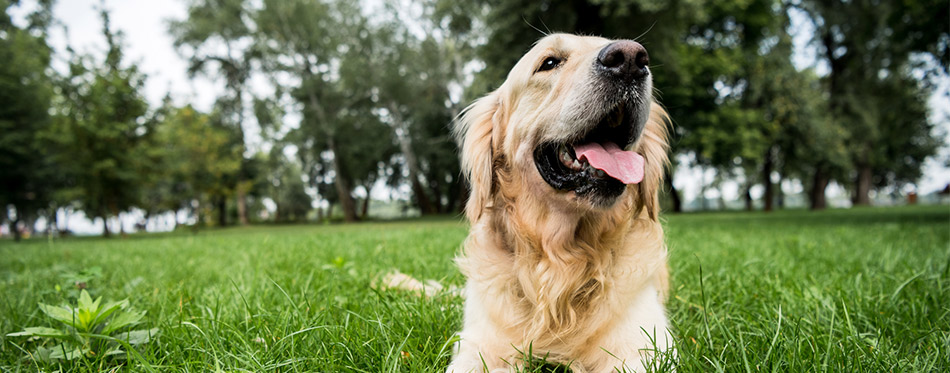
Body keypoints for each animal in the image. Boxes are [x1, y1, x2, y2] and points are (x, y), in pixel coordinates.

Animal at [450, 33, 672, 370]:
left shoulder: (646, 346)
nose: (631, 59)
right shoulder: (478, 345)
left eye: (636, 56)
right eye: (550, 62)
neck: (563, 260)